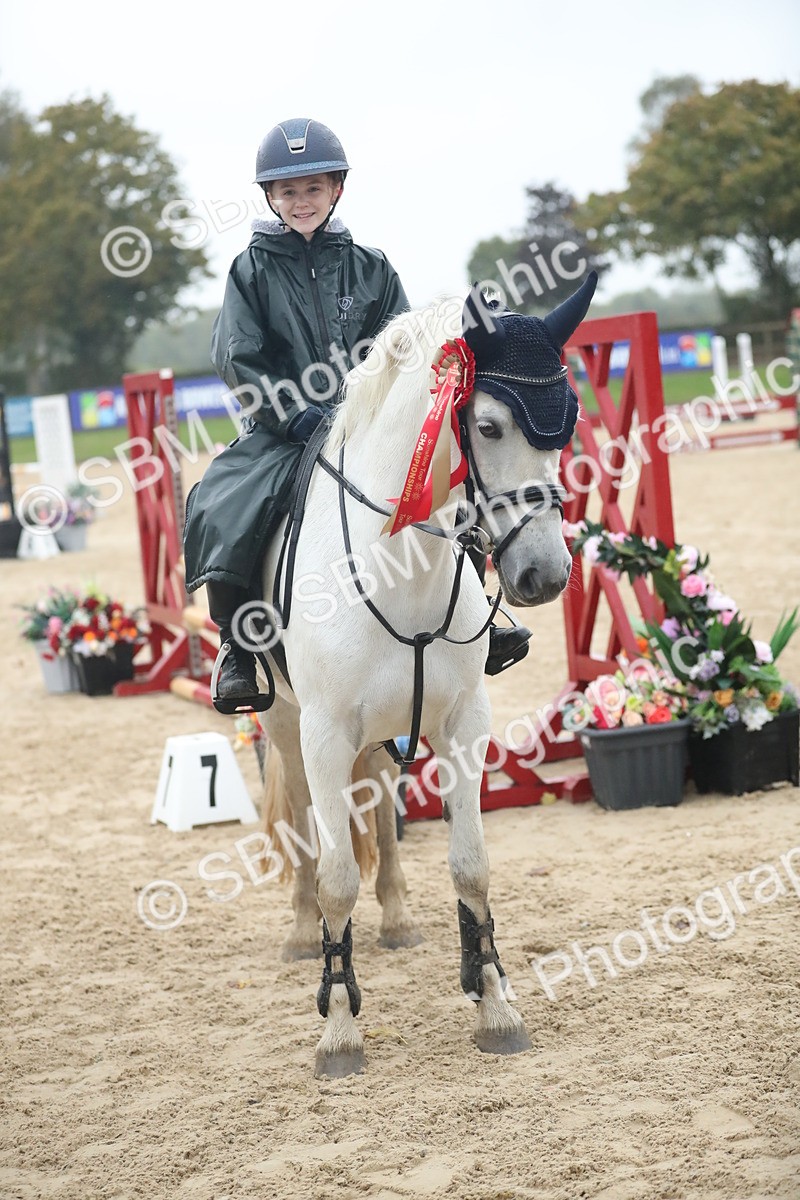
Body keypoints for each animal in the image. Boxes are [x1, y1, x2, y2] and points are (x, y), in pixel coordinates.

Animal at [257, 275, 597, 1077]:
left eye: (566, 425)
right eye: (491, 427)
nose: (544, 574)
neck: (399, 569)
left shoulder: (462, 721)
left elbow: (471, 864)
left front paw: (495, 1004)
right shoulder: (322, 732)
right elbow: (335, 873)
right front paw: (338, 1029)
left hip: (387, 732)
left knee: (380, 801)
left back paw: (398, 916)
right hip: (286, 723)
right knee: (304, 822)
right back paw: (301, 930)